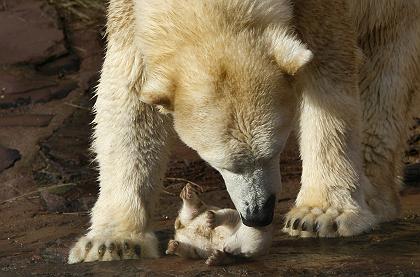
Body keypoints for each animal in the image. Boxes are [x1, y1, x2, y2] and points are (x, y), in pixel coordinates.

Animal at [67, 0, 418, 264]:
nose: (258, 214)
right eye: (220, 164)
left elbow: (329, 75)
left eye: (274, 150)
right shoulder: (129, 13)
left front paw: (320, 214)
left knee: (387, 66)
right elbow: (127, 93)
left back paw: (373, 195)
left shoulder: (322, 8)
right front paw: (112, 241)